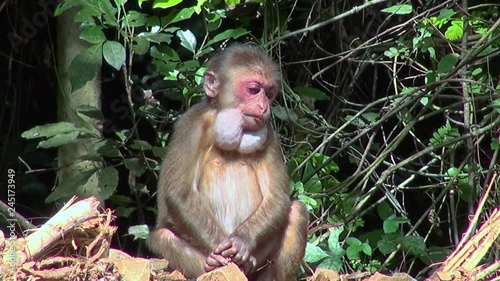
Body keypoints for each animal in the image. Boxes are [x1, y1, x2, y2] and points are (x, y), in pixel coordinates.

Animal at [146, 43, 308, 280]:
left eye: (269, 93)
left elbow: (277, 198)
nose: (264, 106)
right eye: (254, 90)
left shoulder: (270, 134)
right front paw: (219, 248)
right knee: (162, 237)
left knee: (297, 212)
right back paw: (214, 264)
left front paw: (240, 243)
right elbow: (180, 193)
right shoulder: (191, 125)